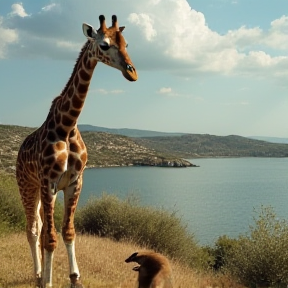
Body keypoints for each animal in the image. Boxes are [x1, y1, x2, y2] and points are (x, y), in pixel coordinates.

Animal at [15, 15, 137, 288]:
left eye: (126, 44)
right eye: (104, 45)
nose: (132, 72)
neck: (67, 125)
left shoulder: (74, 182)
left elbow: (68, 232)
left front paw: (75, 278)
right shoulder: (49, 182)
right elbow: (50, 238)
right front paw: (48, 282)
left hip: (43, 191)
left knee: (40, 226)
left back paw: (41, 273)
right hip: (27, 186)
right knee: (33, 229)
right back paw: (38, 275)